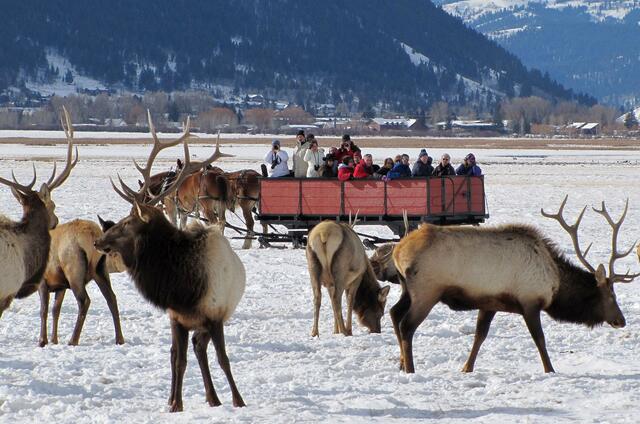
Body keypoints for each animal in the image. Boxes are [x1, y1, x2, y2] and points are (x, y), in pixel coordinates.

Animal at [37, 217, 127, 347]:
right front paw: (54, 340)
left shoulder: (43, 282)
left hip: (74, 272)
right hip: (100, 270)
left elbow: (44, 310)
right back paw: (119, 339)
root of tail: (92, 234)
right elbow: (56, 310)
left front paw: (42, 341)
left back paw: (73, 340)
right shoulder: (61, 286)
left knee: (84, 301)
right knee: (111, 298)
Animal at [94, 118, 246, 412]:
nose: (98, 240)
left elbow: (223, 359)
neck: (183, 287)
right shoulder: (177, 317)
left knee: (201, 348)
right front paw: (175, 403)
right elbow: (178, 359)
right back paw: (210, 397)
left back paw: (214, 397)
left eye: (127, 222)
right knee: (190, 350)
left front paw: (239, 400)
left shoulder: (215, 315)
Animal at [386, 196, 638, 374]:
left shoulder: (490, 302)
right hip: (427, 291)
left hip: (407, 289)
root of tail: (398, 251)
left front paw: (467, 368)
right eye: (611, 296)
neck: (556, 285)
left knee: (394, 312)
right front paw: (550, 370)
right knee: (407, 324)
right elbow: (539, 339)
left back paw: (401, 363)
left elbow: (480, 336)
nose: (621, 320)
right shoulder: (530, 301)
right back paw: (410, 369)